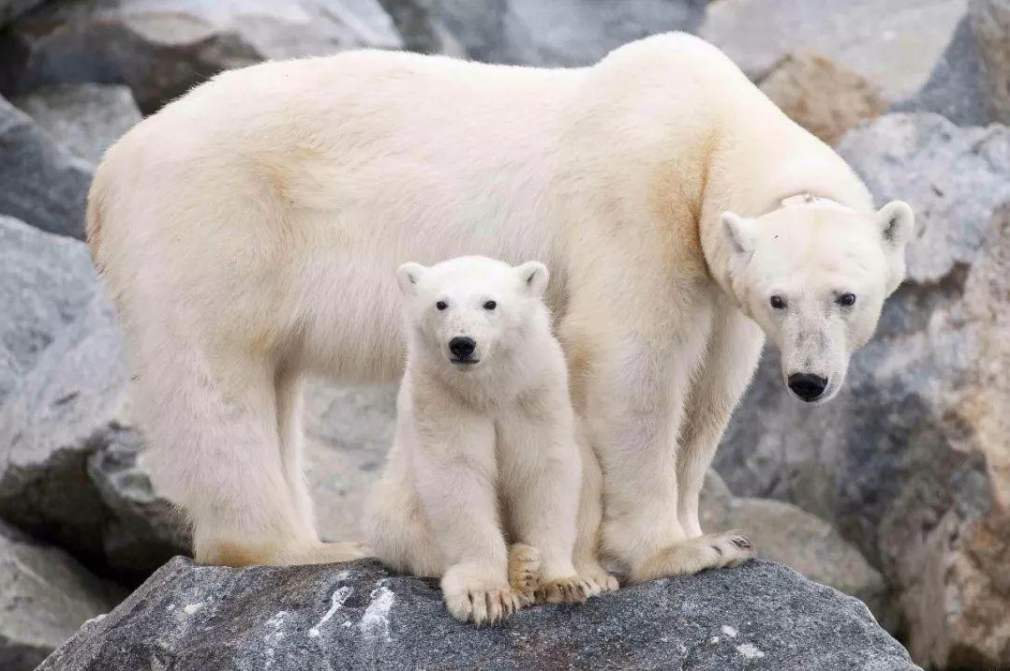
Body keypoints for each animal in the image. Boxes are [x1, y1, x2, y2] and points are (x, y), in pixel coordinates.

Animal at [86, 31, 913, 578]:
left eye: (847, 296)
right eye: (782, 297)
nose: (809, 380)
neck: (712, 131)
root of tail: (110, 168)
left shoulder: (716, 278)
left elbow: (710, 392)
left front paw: (709, 526)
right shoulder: (637, 195)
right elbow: (630, 359)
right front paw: (679, 547)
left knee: (273, 380)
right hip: (214, 222)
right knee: (218, 375)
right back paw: (295, 546)